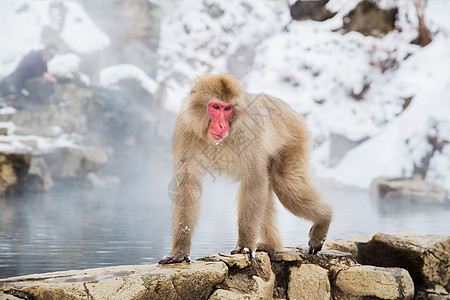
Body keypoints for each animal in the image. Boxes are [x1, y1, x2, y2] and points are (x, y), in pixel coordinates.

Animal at [157, 74, 330, 264]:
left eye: (228, 108)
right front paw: (180, 251)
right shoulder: (185, 130)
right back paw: (271, 244)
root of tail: (292, 110)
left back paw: (324, 219)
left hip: (295, 139)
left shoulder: (246, 132)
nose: (222, 126)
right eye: (216, 107)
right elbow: (188, 186)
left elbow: (254, 182)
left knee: (284, 183)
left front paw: (245, 246)